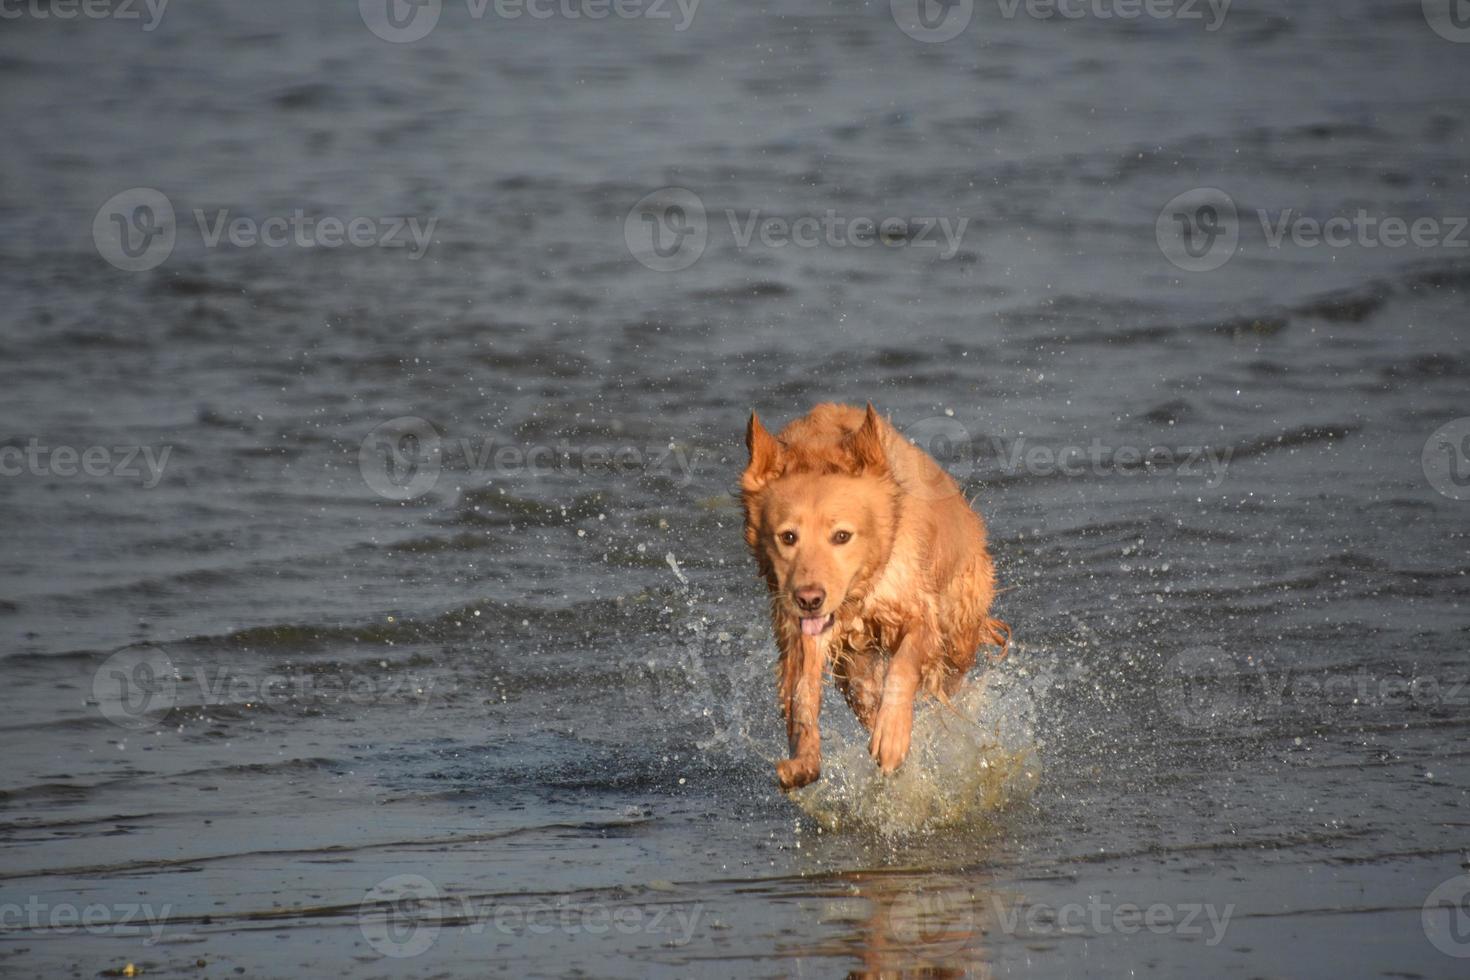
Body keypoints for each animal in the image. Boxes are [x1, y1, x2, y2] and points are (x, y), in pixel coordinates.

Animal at [740, 402, 1005, 793]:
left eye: (841, 536)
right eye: (788, 537)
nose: (809, 599)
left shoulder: (919, 614)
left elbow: (904, 666)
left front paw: (892, 736)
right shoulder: (802, 629)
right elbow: (802, 693)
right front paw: (803, 760)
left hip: (960, 626)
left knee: (952, 670)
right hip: (855, 667)